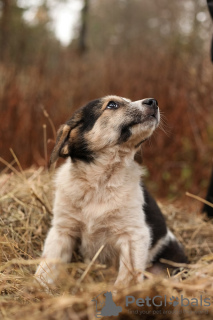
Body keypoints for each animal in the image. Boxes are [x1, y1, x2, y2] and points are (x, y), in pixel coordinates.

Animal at [35, 95, 187, 288]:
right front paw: (36, 287)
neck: (100, 183)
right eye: (112, 105)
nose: (153, 101)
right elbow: (46, 265)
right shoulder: (62, 229)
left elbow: (126, 280)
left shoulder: (134, 235)